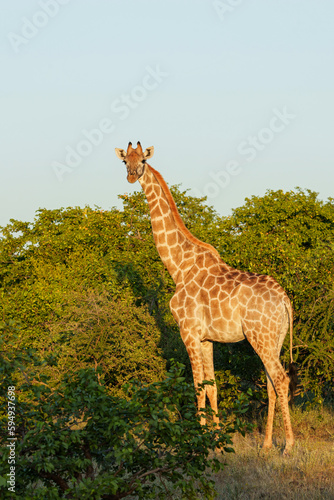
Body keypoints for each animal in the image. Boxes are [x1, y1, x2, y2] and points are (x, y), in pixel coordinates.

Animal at [116, 142, 296, 458]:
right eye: (125, 160)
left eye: (143, 161)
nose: (131, 175)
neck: (177, 266)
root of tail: (284, 299)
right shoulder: (207, 338)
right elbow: (212, 385)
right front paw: (216, 440)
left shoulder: (187, 331)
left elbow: (197, 384)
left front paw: (197, 440)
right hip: (274, 338)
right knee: (271, 383)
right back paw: (265, 444)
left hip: (260, 336)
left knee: (281, 379)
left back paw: (288, 446)